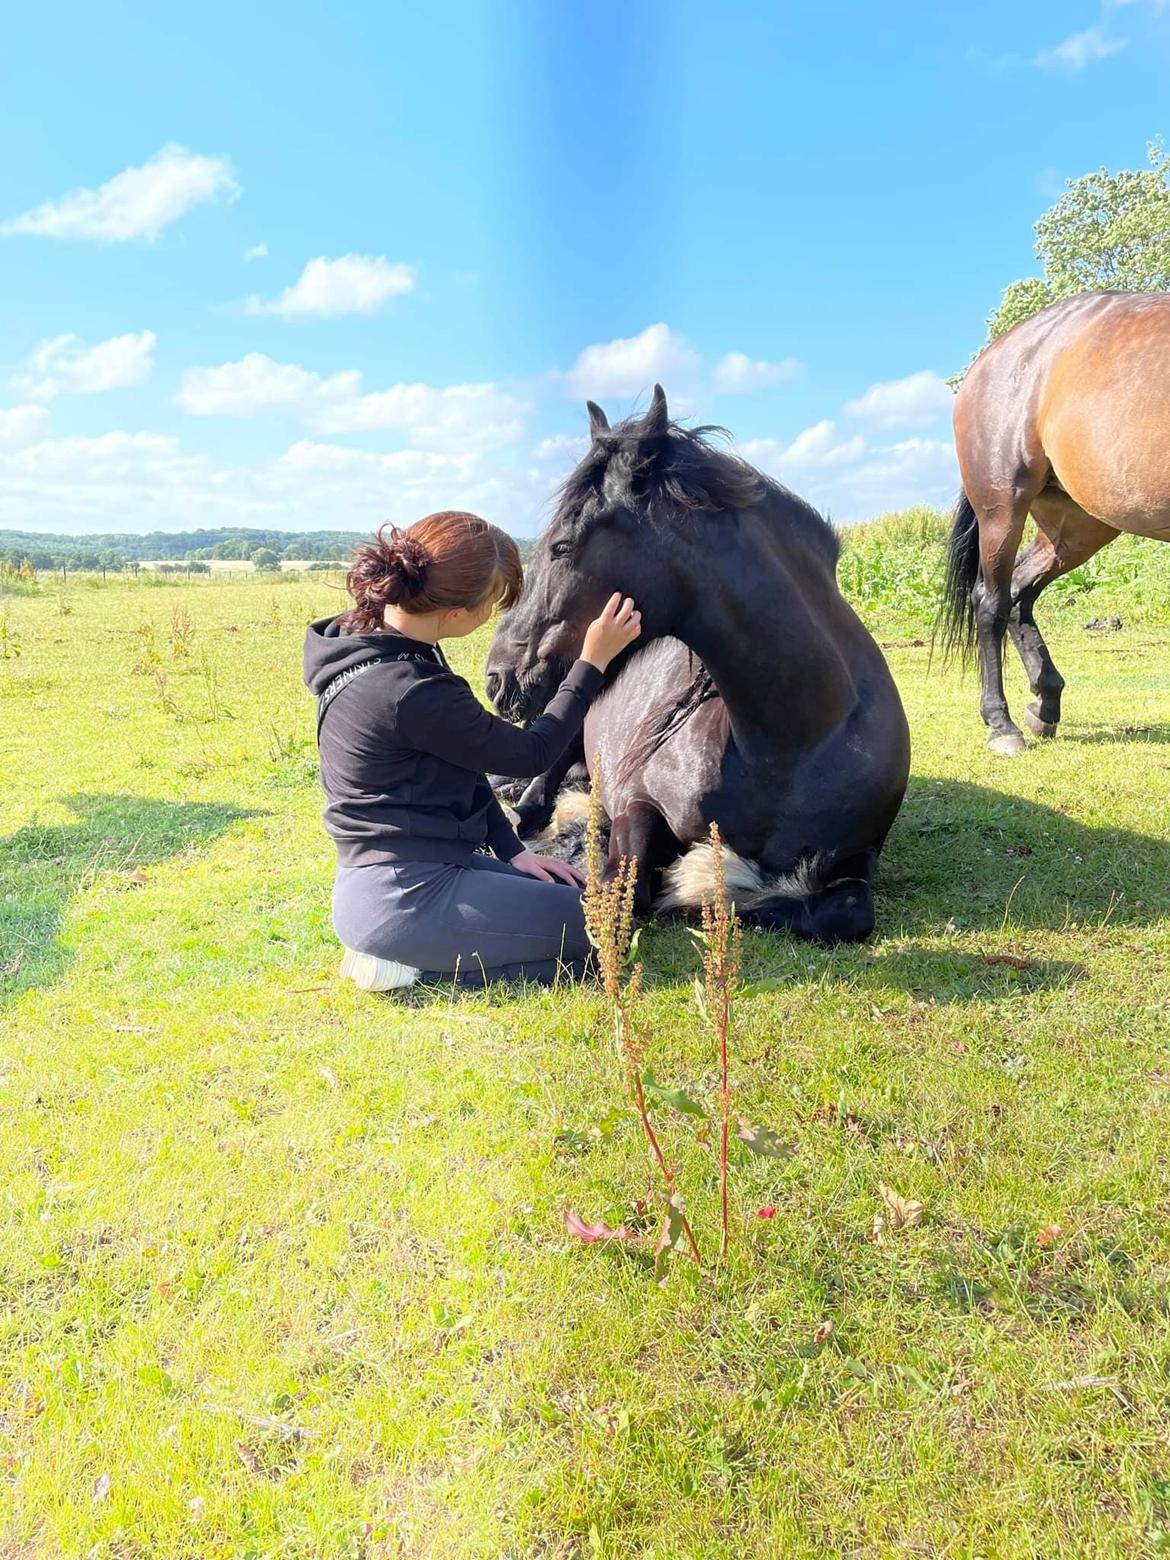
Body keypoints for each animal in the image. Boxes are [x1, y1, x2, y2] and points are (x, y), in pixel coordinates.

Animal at [486, 393, 917, 948]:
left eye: (561, 546)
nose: (497, 675)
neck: (790, 745)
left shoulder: (858, 858)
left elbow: (849, 912)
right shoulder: (638, 799)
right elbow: (623, 889)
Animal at [942, 294, 1170, 758]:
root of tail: (988, 359)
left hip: (1075, 527)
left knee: (1019, 592)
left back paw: (1044, 704)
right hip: (1002, 508)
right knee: (991, 603)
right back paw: (1002, 725)